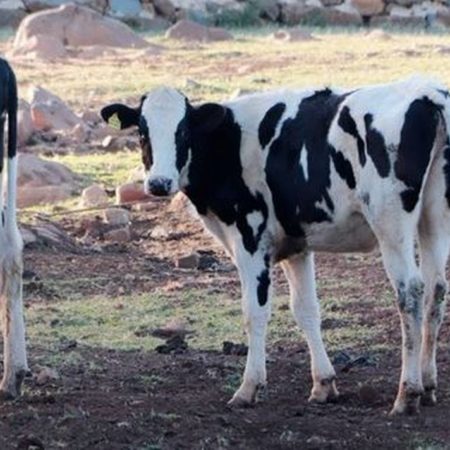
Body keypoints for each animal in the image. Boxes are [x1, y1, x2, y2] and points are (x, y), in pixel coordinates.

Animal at [101, 76, 450, 414]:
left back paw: (407, 393)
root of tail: (430, 94)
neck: (228, 142)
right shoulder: (297, 245)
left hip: (390, 223)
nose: (159, 183)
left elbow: (254, 312)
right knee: (435, 289)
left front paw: (248, 388)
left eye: (183, 130)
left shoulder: (250, 239)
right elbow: (306, 310)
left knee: (411, 291)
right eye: (142, 131)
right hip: (434, 217)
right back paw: (429, 385)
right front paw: (323, 385)